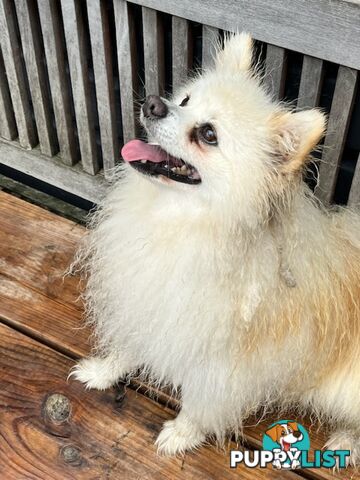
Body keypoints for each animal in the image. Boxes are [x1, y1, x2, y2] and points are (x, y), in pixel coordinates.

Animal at [72, 32, 360, 462]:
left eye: (208, 134)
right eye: (185, 100)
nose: (154, 103)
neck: (182, 222)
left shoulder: (227, 361)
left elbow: (204, 402)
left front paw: (182, 433)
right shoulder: (151, 301)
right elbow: (128, 343)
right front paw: (103, 371)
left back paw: (347, 440)